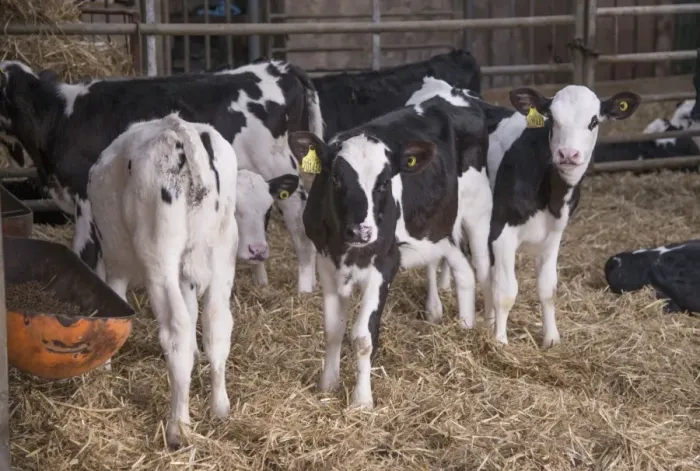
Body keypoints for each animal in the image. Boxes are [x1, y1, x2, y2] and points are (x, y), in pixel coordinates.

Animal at [0, 58, 323, 293]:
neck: (60, 118)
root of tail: (279, 67)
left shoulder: (84, 196)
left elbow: (84, 252)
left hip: (279, 164)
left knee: (299, 223)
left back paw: (304, 288)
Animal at [86, 113, 238, 450]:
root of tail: (180, 129)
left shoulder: (116, 265)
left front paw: (104, 366)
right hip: (223, 246)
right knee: (217, 322)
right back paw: (220, 407)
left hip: (158, 252)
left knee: (176, 329)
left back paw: (178, 428)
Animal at [287, 91, 488, 410]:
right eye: (336, 179)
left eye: (383, 183)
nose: (361, 231)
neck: (347, 250)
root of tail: (454, 95)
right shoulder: (326, 262)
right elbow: (332, 330)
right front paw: (328, 385)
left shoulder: (384, 265)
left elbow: (363, 336)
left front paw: (361, 401)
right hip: (439, 231)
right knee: (463, 271)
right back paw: (463, 326)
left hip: (478, 211)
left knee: (480, 267)